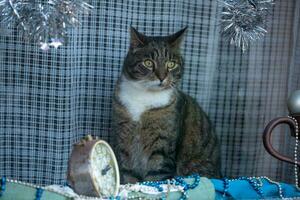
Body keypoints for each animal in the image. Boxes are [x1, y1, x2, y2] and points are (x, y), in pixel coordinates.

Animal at [112, 26, 220, 184]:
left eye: (171, 64)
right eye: (148, 63)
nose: (162, 77)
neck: (145, 96)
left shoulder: (162, 145)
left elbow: (156, 175)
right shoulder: (124, 139)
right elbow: (128, 173)